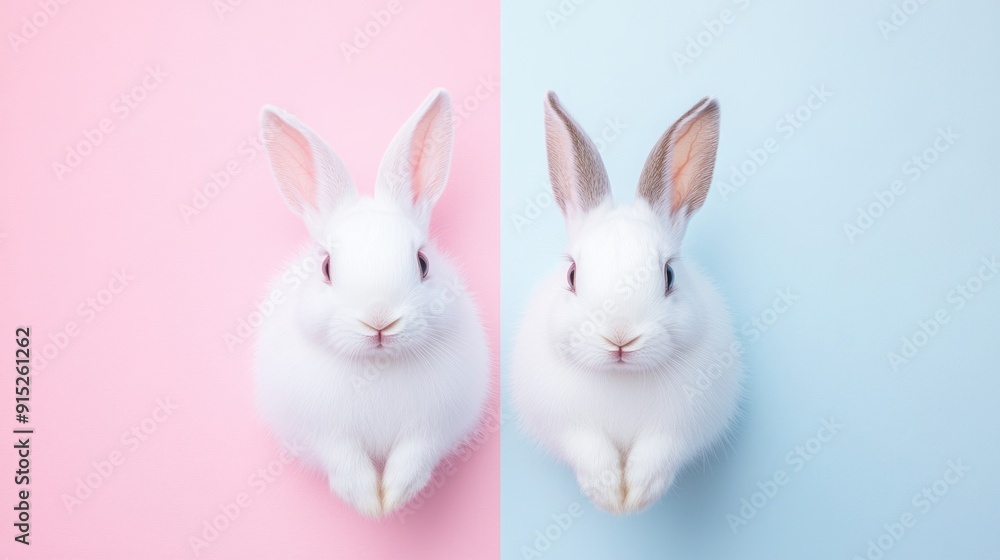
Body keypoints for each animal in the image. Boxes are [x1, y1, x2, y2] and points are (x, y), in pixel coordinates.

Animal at [254, 89, 489, 519]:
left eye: (423, 262)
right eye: (326, 267)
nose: (379, 321)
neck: (376, 367)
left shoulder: (432, 426)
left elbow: (414, 455)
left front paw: (392, 497)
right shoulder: (323, 432)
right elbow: (343, 459)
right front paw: (369, 503)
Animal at [510, 93, 743, 515]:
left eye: (669, 274)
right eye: (572, 275)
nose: (619, 339)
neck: (622, 377)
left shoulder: (677, 427)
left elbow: (658, 452)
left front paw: (635, 495)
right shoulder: (570, 425)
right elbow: (590, 450)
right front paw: (609, 494)